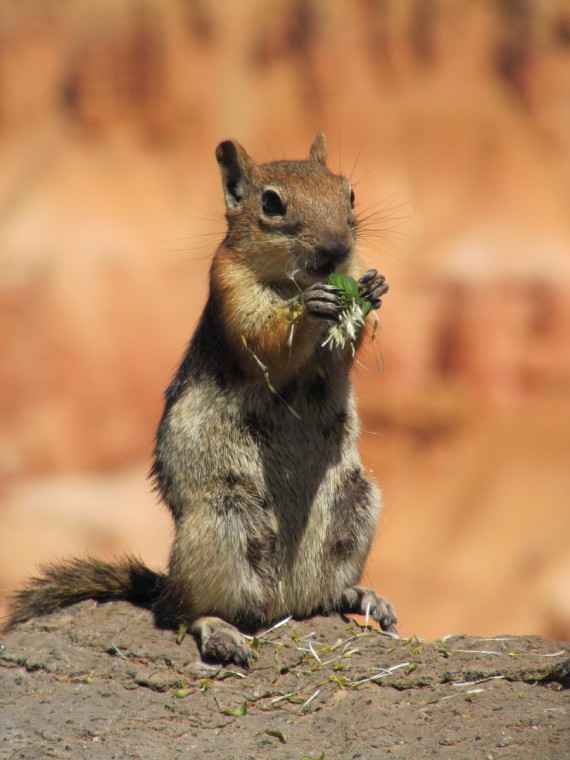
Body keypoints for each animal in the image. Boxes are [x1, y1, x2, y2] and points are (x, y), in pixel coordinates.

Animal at [5, 135, 394, 664]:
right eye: (271, 203)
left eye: (349, 192)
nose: (337, 248)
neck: (293, 280)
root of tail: (285, 601)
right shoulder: (229, 288)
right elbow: (267, 344)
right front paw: (312, 307)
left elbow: (340, 357)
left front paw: (372, 289)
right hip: (224, 521)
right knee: (185, 613)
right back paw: (219, 628)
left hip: (356, 505)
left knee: (324, 595)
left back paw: (360, 595)